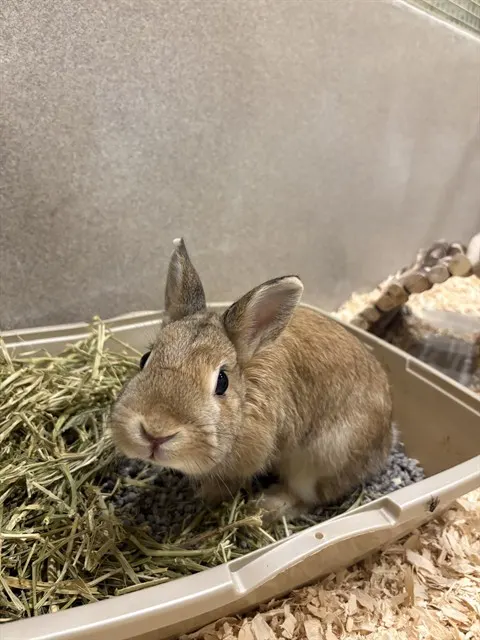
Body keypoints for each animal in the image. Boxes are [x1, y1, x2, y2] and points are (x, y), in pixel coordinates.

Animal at [109, 238, 393, 521]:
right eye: (145, 359)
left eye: (222, 382)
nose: (155, 433)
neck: (244, 398)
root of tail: (386, 443)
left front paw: (205, 497)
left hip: (322, 460)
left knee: (309, 497)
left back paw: (268, 506)